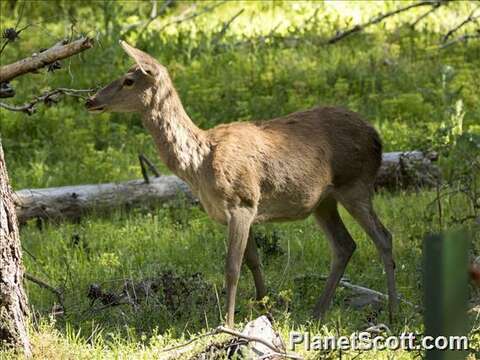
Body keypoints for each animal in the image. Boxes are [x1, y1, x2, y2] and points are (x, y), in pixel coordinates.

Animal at [85, 40, 398, 328]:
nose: (89, 100)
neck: (199, 164)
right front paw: (265, 310)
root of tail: (377, 138)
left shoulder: (242, 202)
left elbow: (232, 267)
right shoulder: (239, 212)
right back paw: (317, 312)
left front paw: (228, 323)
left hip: (355, 184)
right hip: (323, 200)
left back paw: (393, 313)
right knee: (345, 244)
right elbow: (254, 262)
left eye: (128, 80)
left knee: (383, 237)